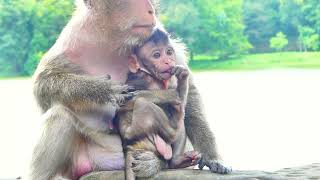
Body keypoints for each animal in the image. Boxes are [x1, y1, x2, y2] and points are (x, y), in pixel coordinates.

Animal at [116, 28, 201, 179]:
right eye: (157, 55)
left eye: (169, 52)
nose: (168, 61)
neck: (147, 72)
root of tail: (129, 147)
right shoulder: (149, 80)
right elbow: (177, 97)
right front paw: (182, 78)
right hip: (139, 132)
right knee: (145, 104)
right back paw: (176, 121)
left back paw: (176, 161)